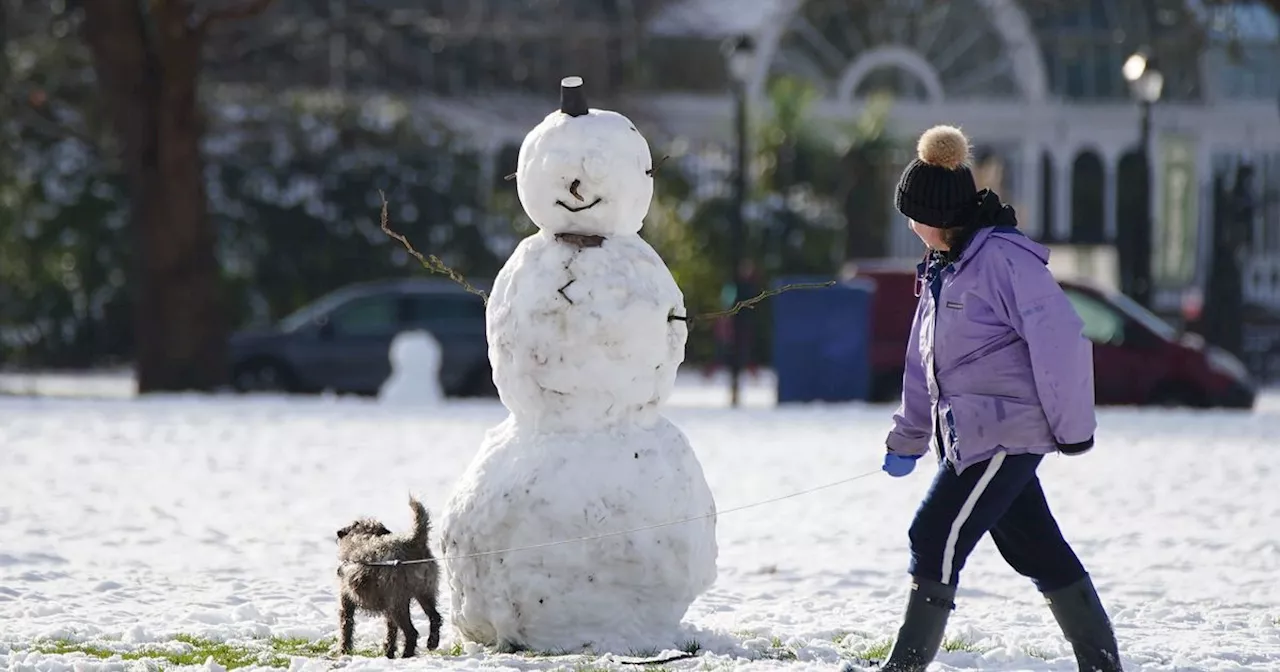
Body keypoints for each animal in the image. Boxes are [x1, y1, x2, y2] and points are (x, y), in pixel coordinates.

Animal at [335, 496, 445, 655]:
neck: (363, 537)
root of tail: (414, 542)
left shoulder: (346, 598)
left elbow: (346, 626)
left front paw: (344, 650)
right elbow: (391, 630)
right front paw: (389, 651)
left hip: (398, 603)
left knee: (412, 632)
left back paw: (407, 655)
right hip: (425, 593)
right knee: (435, 617)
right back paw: (432, 642)